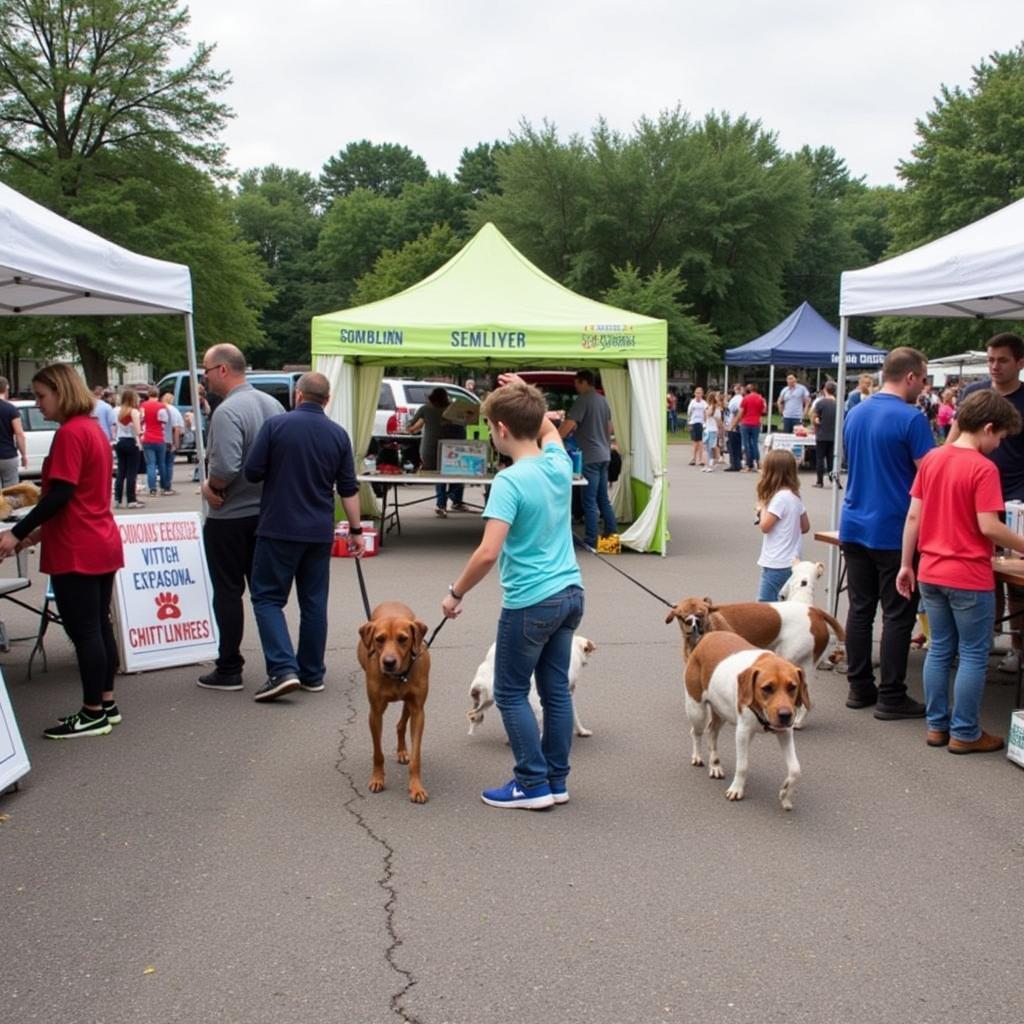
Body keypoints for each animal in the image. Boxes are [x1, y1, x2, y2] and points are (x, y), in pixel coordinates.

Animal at [358, 598, 430, 806]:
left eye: (403, 639)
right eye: (379, 639)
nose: (389, 662)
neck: (397, 676)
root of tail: (392, 601)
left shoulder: (418, 711)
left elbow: (416, 757)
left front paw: (416, 788)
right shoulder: (375, 712)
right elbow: (377, 753)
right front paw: (377, 778)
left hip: (409, 702)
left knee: (401, 724)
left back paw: (402, 751)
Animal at [468, 630, 598, 737]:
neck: (574, 647)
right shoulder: (567, 692)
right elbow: (574, 715)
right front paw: (582, 731)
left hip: (487, 702)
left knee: (474, 715)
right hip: (536, 708)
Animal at [688, 626, 806, 811]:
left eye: (792, 687)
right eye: (767, 688)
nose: (785, 715)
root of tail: (707, 636)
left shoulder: (785, 732)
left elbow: (795, 769)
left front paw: (786, 794)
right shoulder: (742, 732)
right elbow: (743, 766)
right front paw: (737, 789)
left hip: (722, 712)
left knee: (712, 732)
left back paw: (715, 764)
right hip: (697, 711)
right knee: (696, 732)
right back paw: (697, 756)